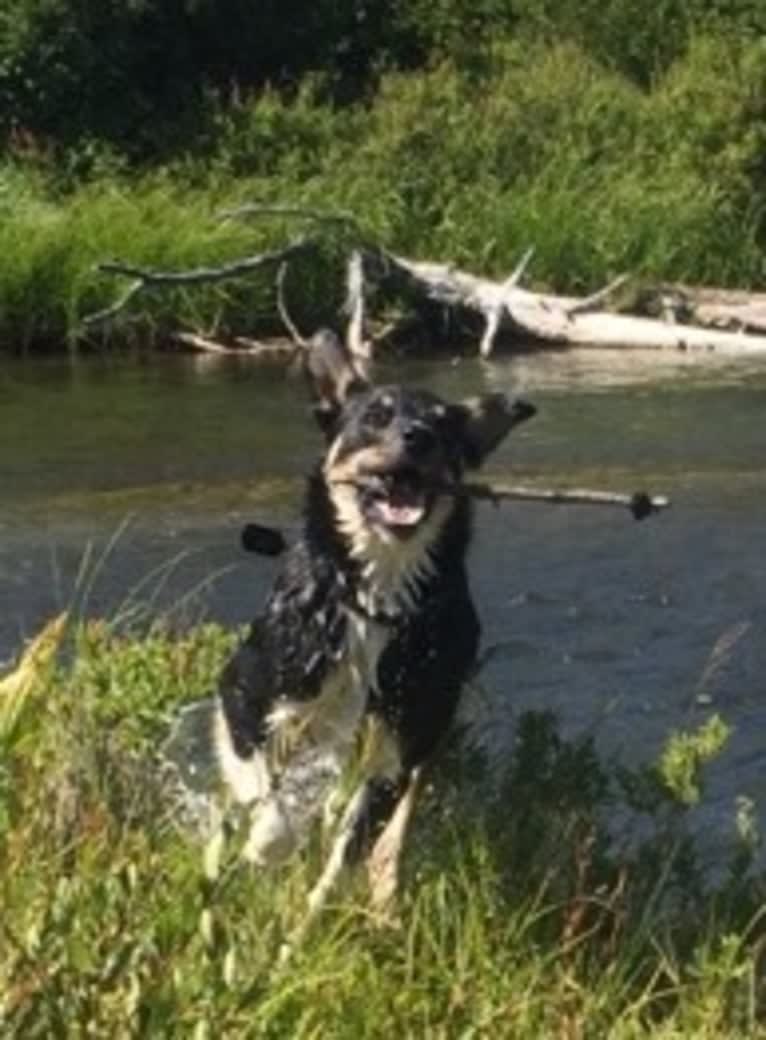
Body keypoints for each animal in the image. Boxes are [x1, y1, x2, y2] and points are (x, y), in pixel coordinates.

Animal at [166, 339, 532, 927]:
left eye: (443, 425)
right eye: (376, 417)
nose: (417, 437)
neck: (376, 595)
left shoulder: (397, 754)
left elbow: (347, 852)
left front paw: (304, 926)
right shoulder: (244, 692)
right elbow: (265, 799)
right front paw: (266, 844)